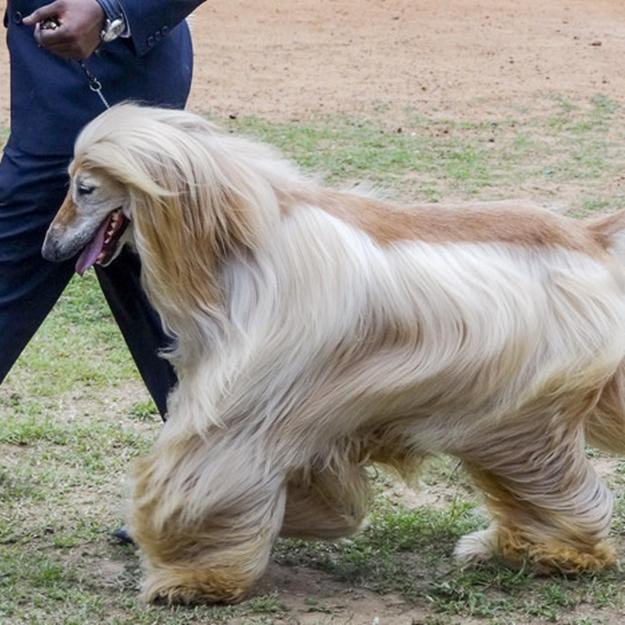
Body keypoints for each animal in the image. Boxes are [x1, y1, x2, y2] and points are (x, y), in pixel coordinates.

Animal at [42, 105, 625, 604]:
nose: (49, 248)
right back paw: (524, 547)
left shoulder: (253, 402)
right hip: (504, 413)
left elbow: (205, 467)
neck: (236, 243)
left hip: (528, 408)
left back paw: (552, 551)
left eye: (83, 187)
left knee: (550, 477)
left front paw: (191, 576)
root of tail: (587, 236)